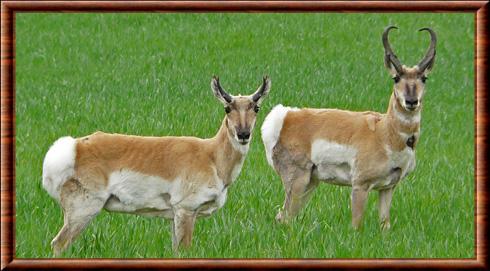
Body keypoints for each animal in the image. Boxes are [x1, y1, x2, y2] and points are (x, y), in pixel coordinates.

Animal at [41, 76, 272, 255]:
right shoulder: (186, 210)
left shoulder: (174, 216)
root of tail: (74, 147)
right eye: (227, 108)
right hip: (83, 210)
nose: (243, 134)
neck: (211, 156)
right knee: (58, 243)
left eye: (256, 107)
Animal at [262, 26, 438, 231]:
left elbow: (385, 224)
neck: (385, 133)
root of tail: (286, 116)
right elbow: (356, 224)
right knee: (285, 217)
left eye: (424, 78)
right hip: (298, 181)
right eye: (396, 77)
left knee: (283, 216)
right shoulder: (360, 185)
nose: (411, 101)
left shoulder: (387, 188)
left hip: (311, 182)